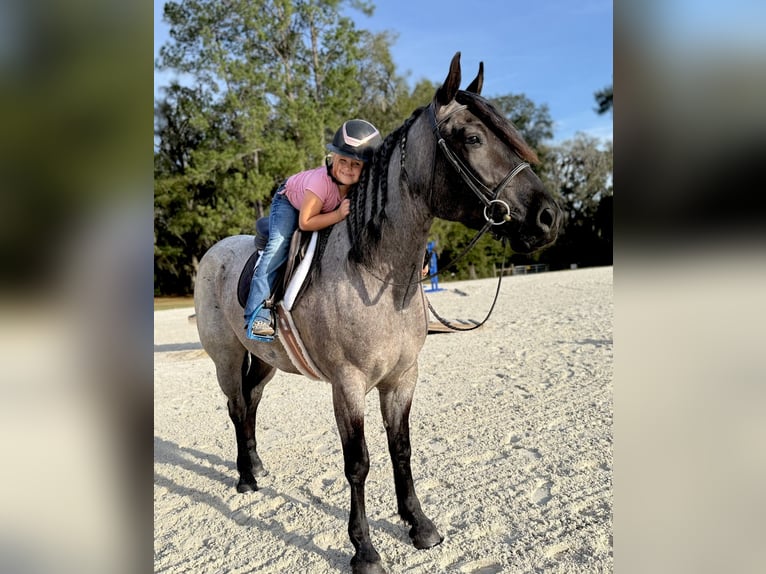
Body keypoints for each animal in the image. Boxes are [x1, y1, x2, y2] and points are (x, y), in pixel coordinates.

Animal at [193, 52, 561, 574]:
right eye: (472, 138)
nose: (549, 216)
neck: (376, 273)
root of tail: (216, 251)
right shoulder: (347, 386)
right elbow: (359, 462)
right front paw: (364, 549)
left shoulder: (402, 378)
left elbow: (400, 449)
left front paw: (419, 525)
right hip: (225, 357)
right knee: (236, 404)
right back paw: (245, 478)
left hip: (264, 358)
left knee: (252, 401)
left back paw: (257, 465)